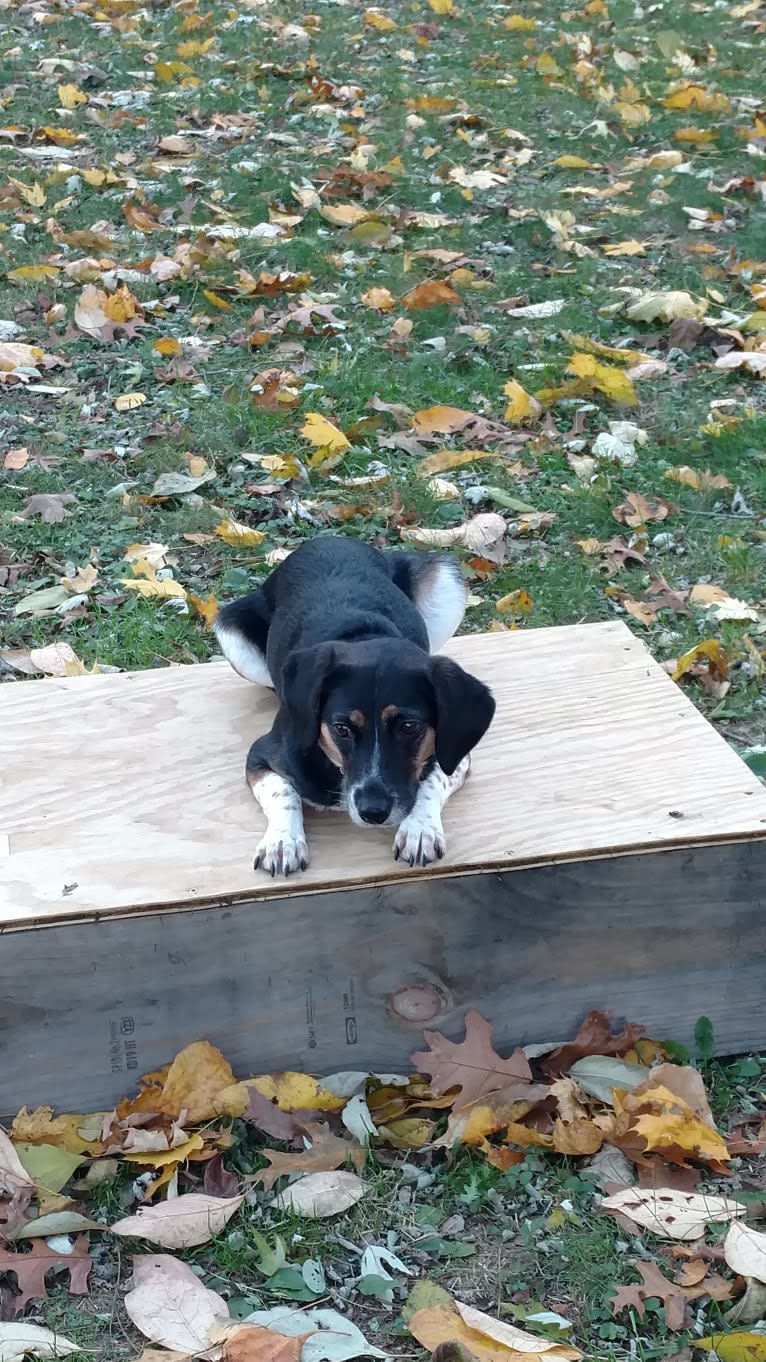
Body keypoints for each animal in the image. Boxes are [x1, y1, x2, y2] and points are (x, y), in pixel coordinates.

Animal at [212, 536, 496, 877]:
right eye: (341, 728)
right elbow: (284, 791)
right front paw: (283, 841)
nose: (373, 812)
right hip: (230, 628)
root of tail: (329, 539)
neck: (364, 636)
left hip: (446, 575)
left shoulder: (457, 753)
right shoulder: (261, 755)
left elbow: (433, 779)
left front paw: (420, 829)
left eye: (409, 727)